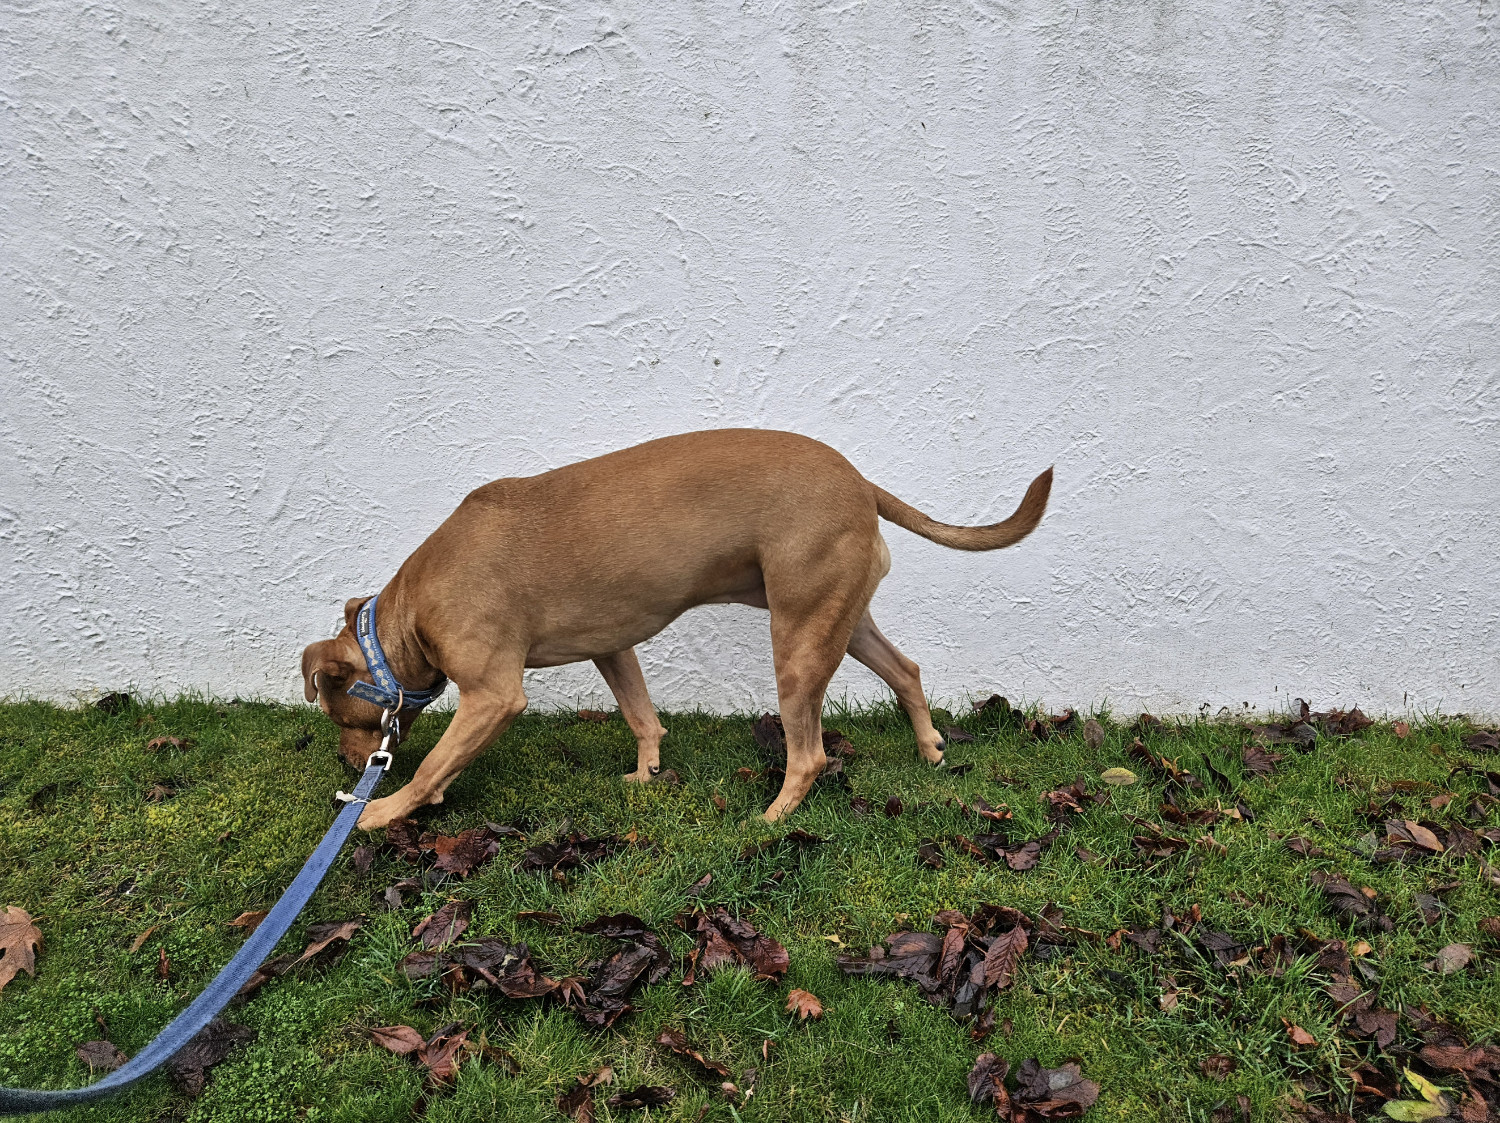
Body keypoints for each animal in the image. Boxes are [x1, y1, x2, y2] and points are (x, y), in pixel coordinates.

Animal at [298, 425, 1050, 821]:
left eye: (336, 712)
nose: (350, 765)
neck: (410, 608)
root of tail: (861, 481)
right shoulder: (613, 647)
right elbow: (641, 716)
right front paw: (648, 771)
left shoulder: (493, 696)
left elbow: (434, 765)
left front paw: (381, 811)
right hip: (841, 619)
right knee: (907, 671)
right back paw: (930, 749)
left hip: (798, 642)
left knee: (809, 753)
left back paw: (773, 816)